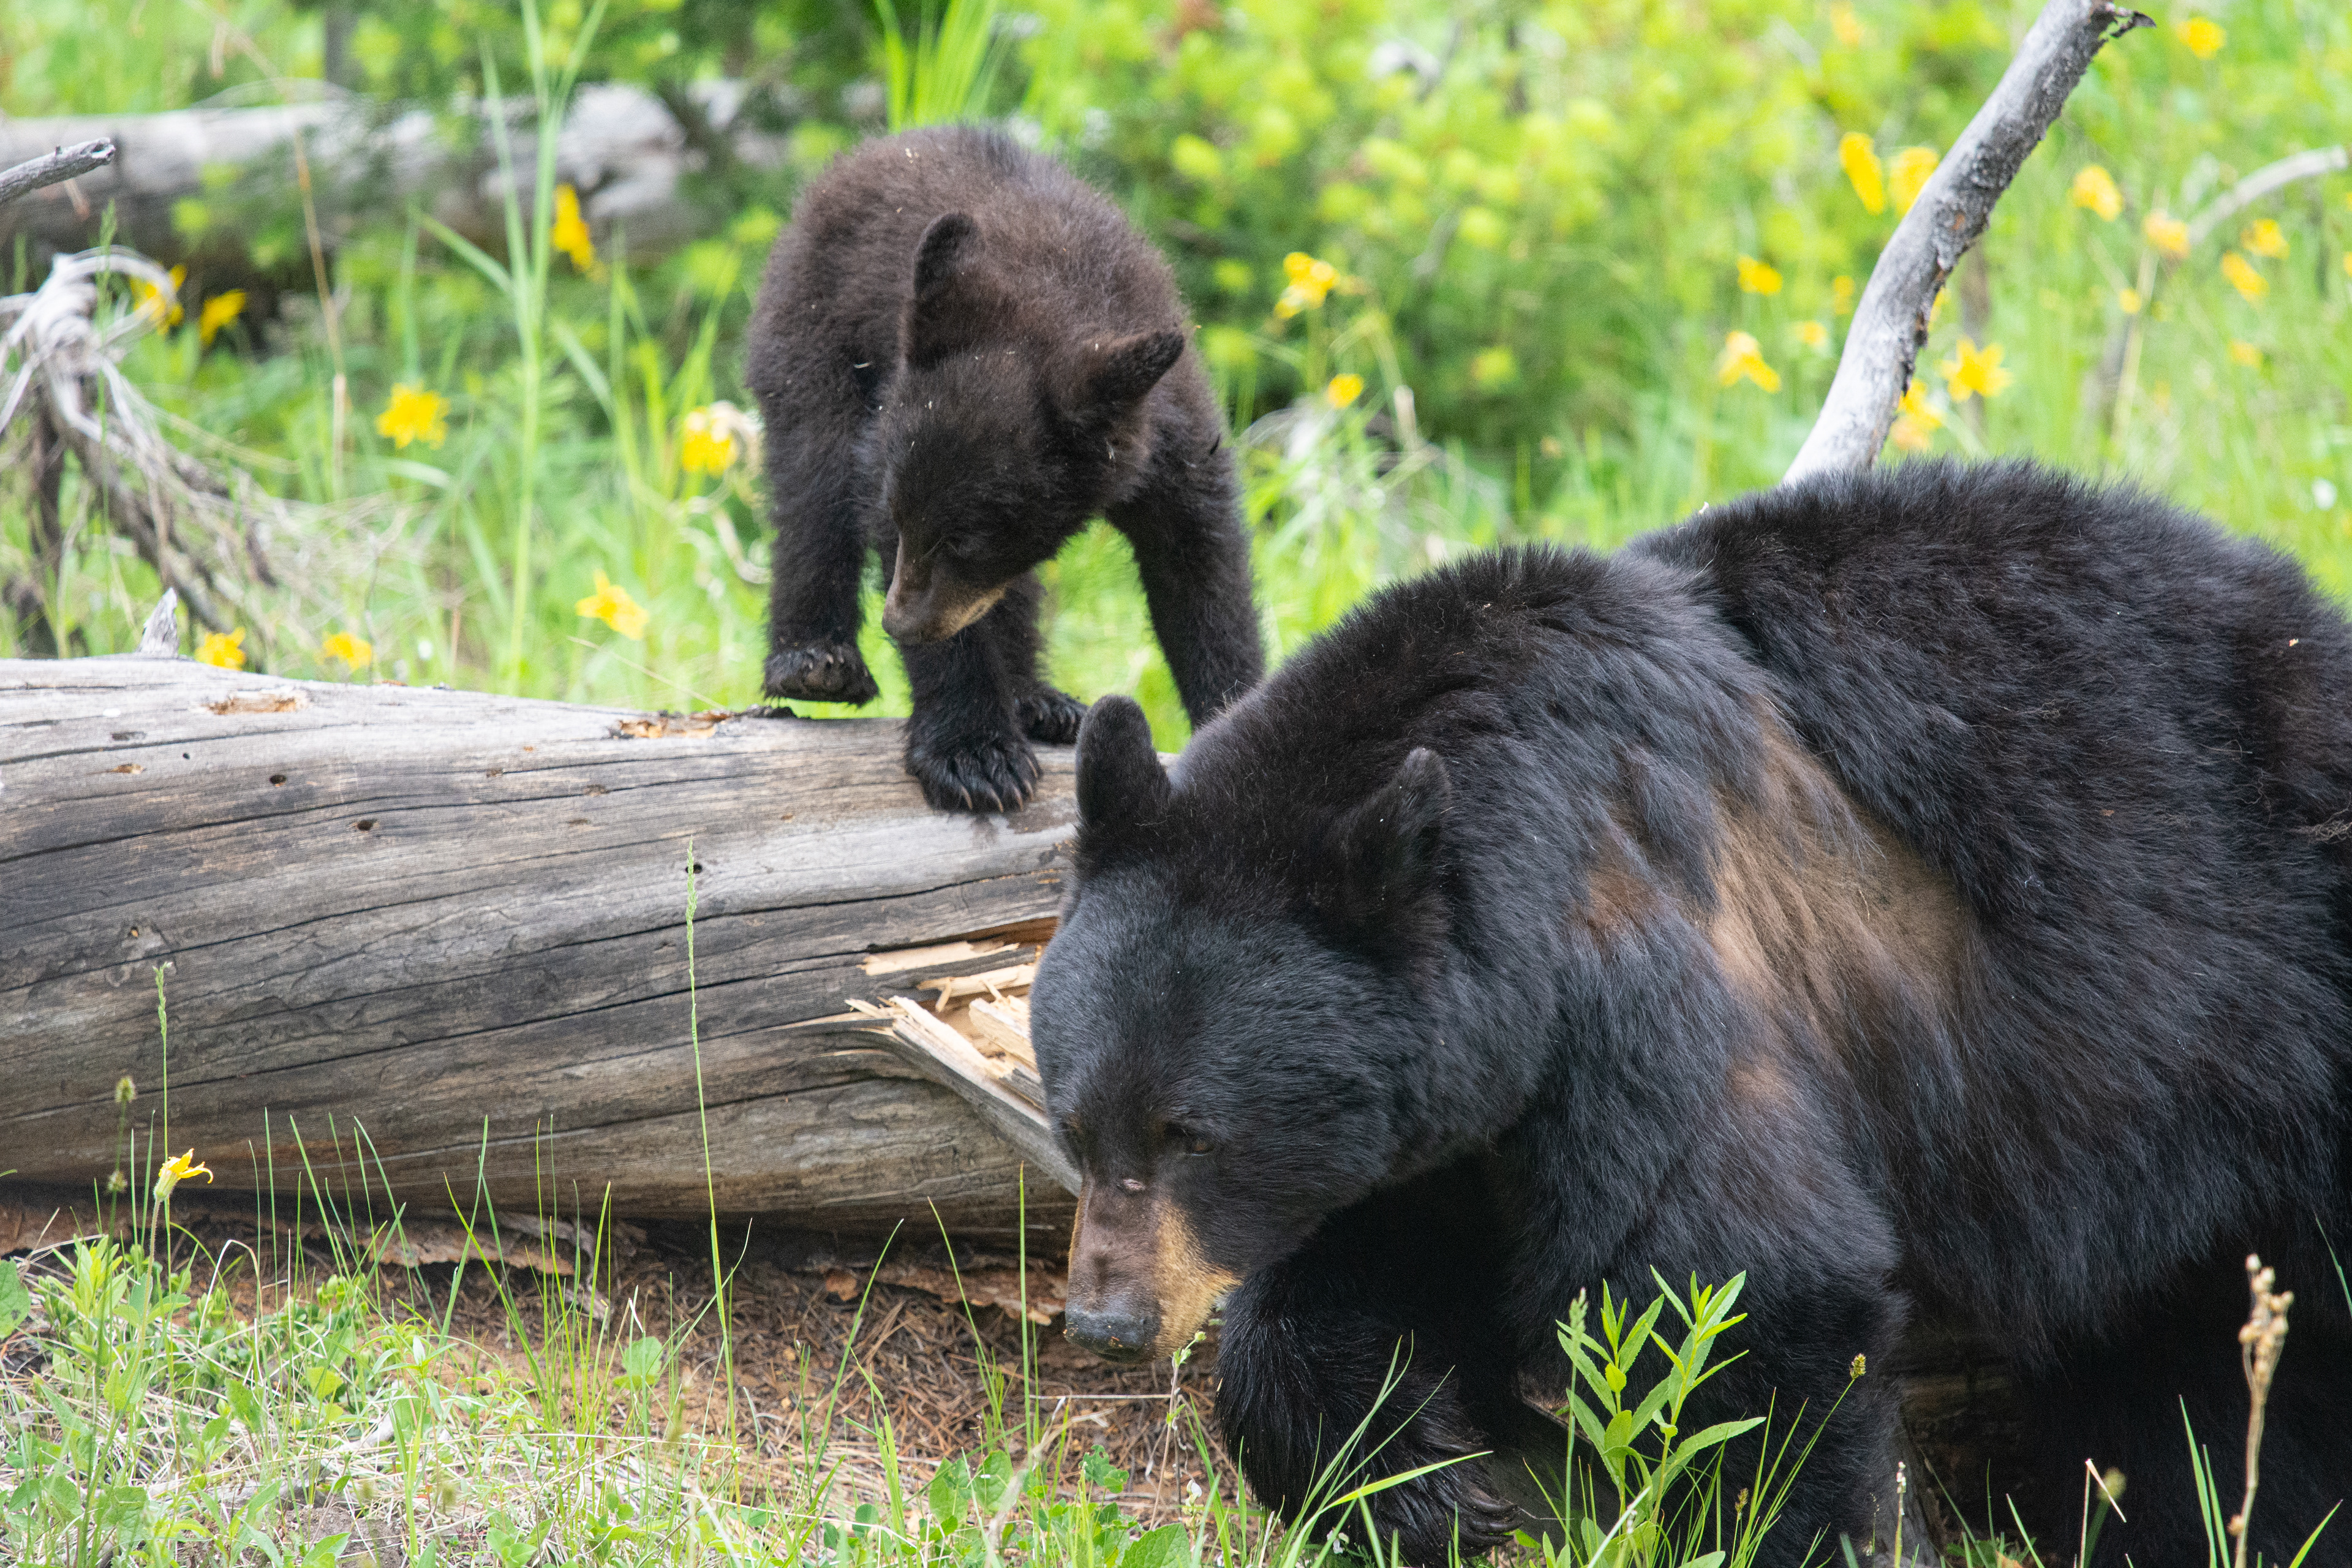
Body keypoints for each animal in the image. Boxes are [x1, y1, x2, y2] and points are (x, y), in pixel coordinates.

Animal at [744, 126, 1263, 813]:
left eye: (972, 539)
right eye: (901, 518)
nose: (899, 623)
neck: (1049, 292)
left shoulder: (1170, 429)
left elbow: (1204, 570)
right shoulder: (886, 436)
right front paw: (974, 754)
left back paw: (1039, 700)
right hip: (813, 337)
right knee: (813, 486)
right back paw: (816, 664)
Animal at [1028, 460, 2352, 1567]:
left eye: (1193, 1132)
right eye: (1077, 1120)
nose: (1104, 1321)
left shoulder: (1659, 993)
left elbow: (1749, 1290)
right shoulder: (1452, 1110)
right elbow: (1357, 1284)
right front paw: (1442, 1482)